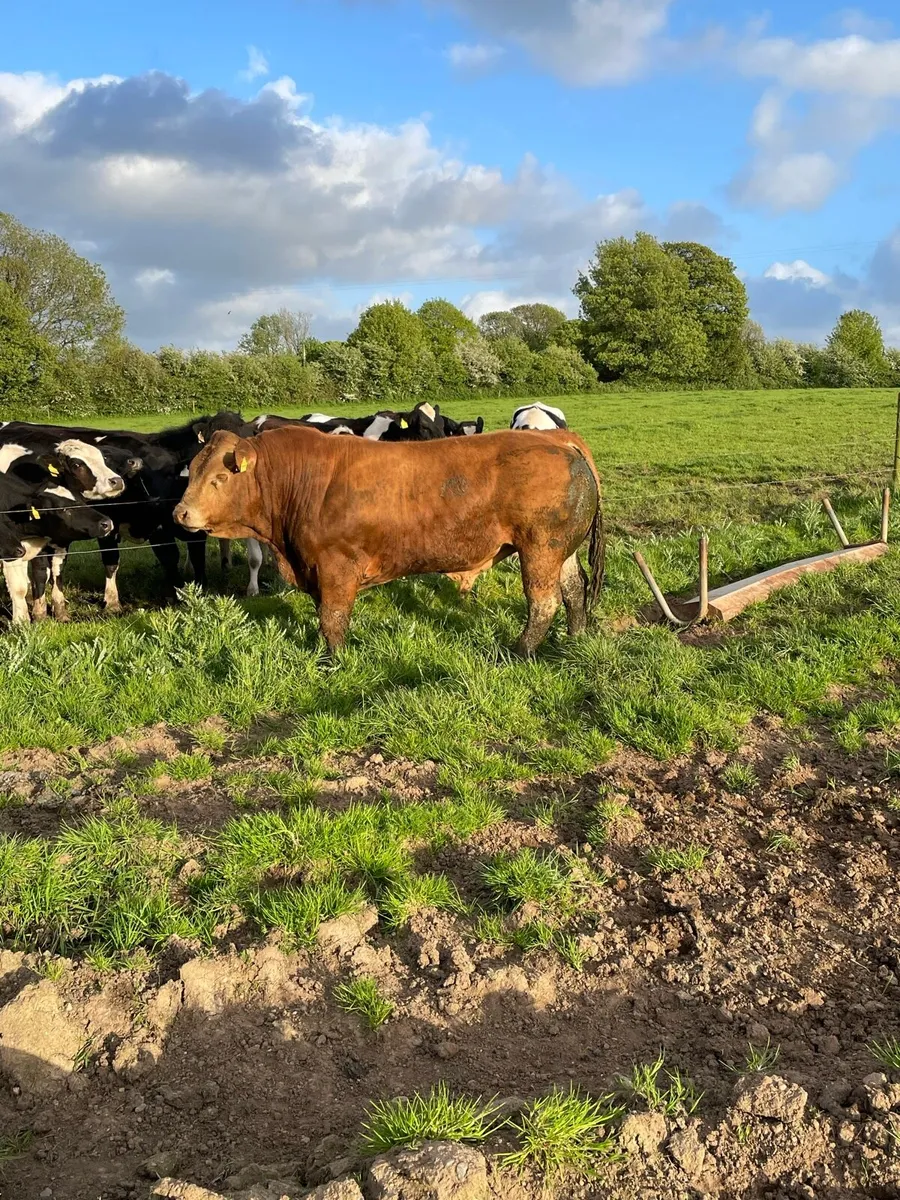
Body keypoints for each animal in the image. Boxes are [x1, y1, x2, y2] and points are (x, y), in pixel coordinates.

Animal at [174, 425, 605, 656]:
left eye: (220, 478)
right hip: (560, 550)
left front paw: (334, 660)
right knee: (574, 590)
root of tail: (557, 438)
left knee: (544, 602)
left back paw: (519, 651)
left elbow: (332, 618)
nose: (180, 513)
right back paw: (576, 637)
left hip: (540, 547)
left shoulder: (335, 567)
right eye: (192, 470)